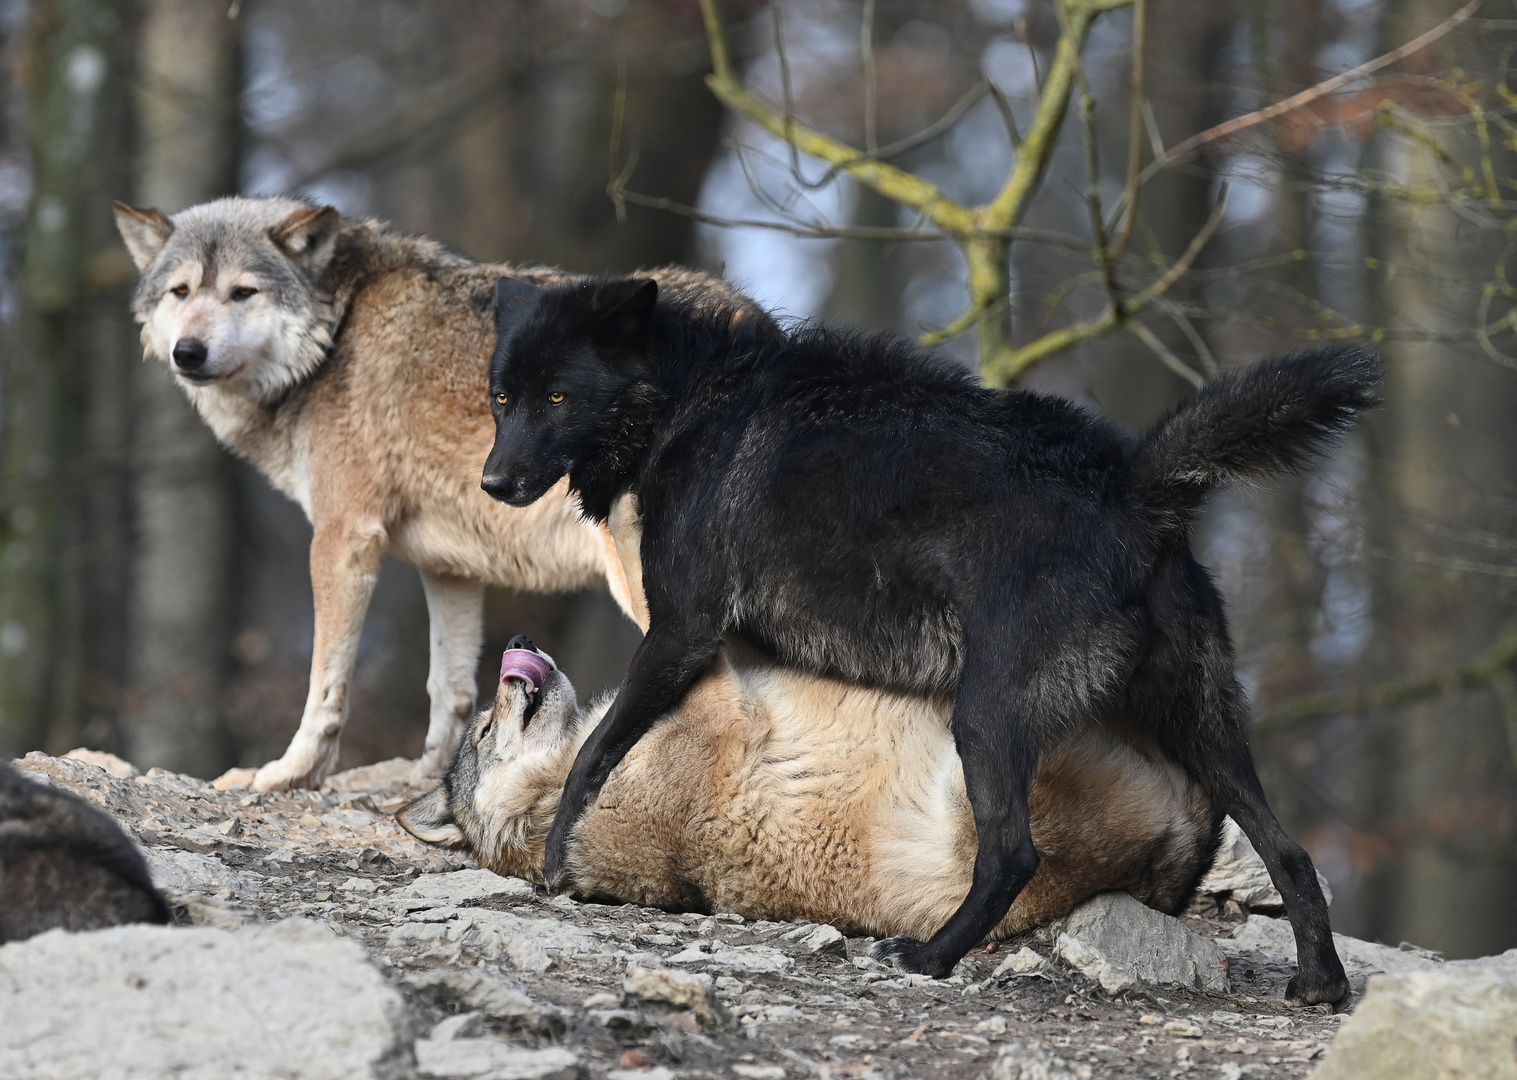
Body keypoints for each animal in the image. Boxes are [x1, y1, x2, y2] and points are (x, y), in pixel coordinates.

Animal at [112, 200, 764, 794]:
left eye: (243, 292)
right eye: (180, 291)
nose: (188, 352)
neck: (336, 336)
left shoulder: (342, 538)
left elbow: (325, 684)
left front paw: (290, 774)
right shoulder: (449, 566)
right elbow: (449, 688)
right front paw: (435, 778)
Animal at [479, 271, 1383, 1001]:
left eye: (556, 398)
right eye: (501, 398)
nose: (492, 482)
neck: (690, 401)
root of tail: (1130, 486)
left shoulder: (679, 633)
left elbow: (597, 752)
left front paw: (558, 855)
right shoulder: (751, 668)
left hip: (984, 723)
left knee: (1013, 856)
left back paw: (930, 957)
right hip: (1203, 728)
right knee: (1290, 851)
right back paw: (1320, 983)